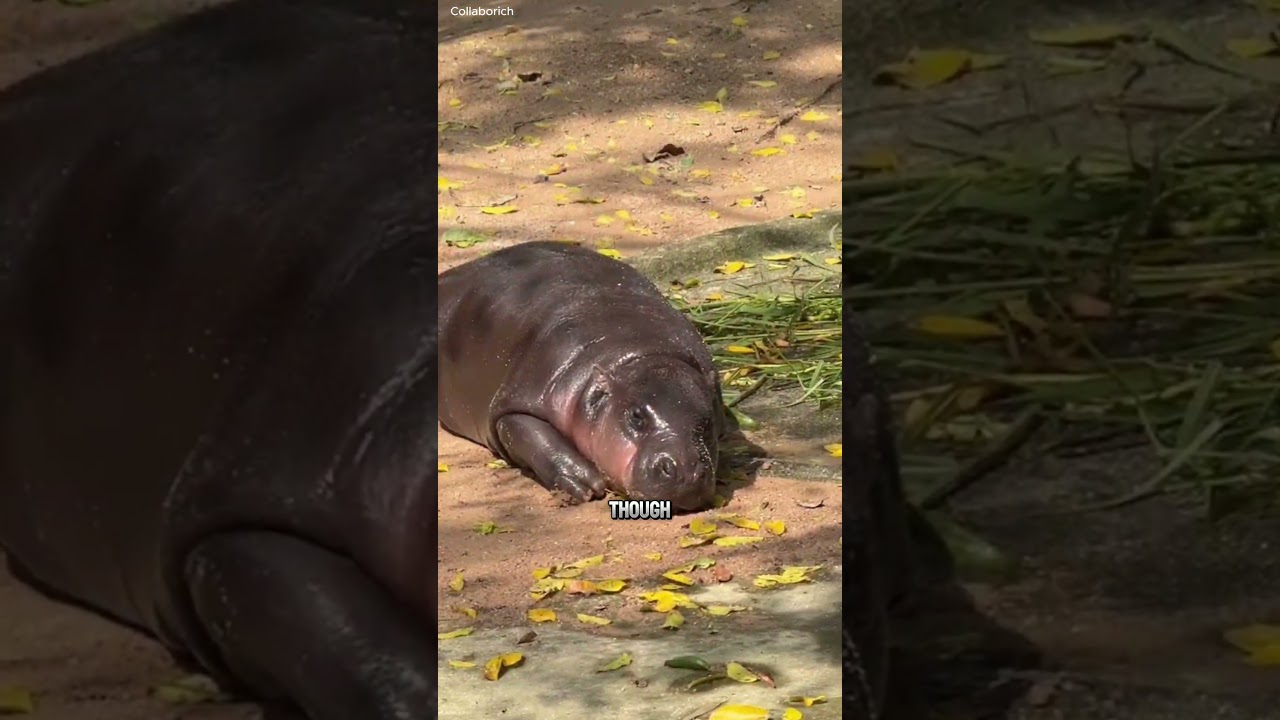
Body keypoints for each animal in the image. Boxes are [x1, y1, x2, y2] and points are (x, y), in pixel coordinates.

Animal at [438, 242, 724, 512]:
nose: (687, 472)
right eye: (636, 416)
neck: (642, 356)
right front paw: (587, 484)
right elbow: (532, 435)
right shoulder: (517, 403)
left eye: (708, 421)